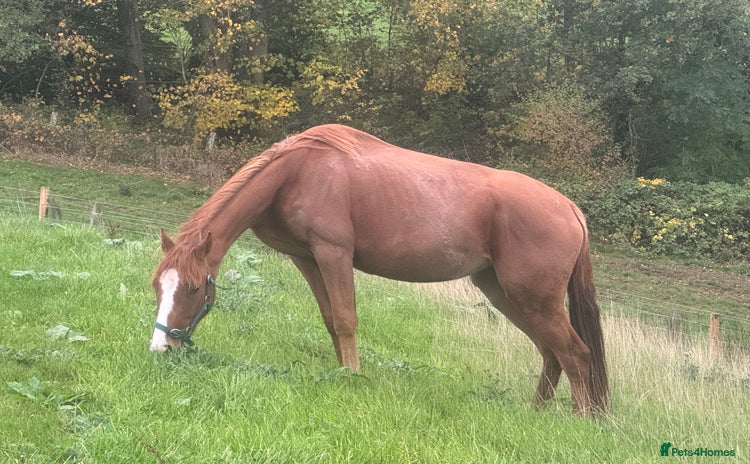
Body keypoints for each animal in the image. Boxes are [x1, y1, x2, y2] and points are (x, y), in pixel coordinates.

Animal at [150, 124, 609, 416]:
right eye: (158, 286)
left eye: (194, 288)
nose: (160, 349)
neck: (298, 172)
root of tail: (570, 208)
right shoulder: (307, 258)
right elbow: (331, 319)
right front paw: (340, 370)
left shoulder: (334, 254)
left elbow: (346, 319)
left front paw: (352, 376)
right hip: (505, 293)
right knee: (551, 352)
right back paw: (537, 412)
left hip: (535, 299)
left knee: (575, 352)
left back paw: (580, 420)